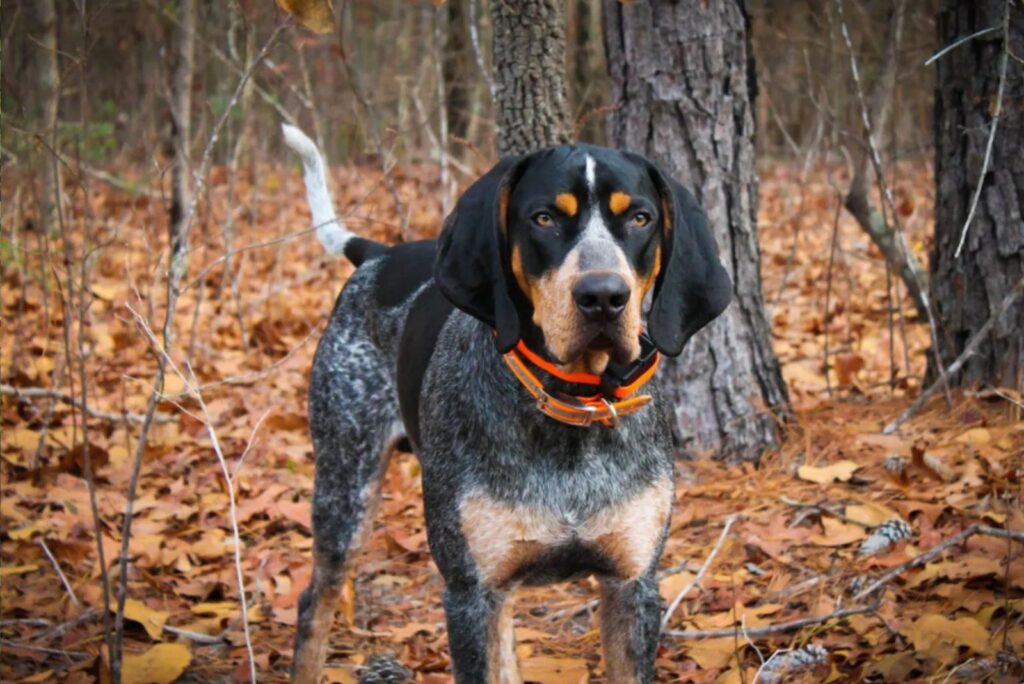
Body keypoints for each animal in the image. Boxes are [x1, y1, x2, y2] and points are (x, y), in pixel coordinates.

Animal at [280, 124, 729, 684]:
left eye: (640, 219)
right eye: (544, 218)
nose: (603, 296)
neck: (573, 408)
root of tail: (379, 256)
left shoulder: (633, 586)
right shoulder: (469, 595)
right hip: (346, 488)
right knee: (313, 604)